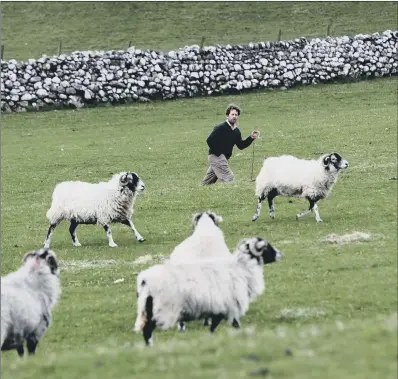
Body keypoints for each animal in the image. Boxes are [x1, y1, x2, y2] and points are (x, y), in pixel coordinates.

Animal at [133, 238, 280, 348]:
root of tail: (144, 280)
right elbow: (228, 325)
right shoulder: (228, 306)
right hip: (162, 309)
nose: (279, 255)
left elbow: (216, 327)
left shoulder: (220, 308)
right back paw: (150, 346)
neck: (242, 268)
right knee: (147, 330)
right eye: (265, 248)